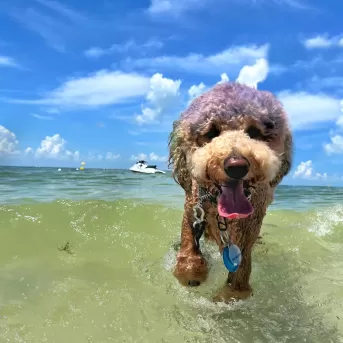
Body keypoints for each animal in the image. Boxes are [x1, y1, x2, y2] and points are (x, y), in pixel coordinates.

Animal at [168, 82, 292, 306]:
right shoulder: (193, 207)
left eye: (254, 132)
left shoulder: (250, 222)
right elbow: (188, 239)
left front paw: (233, 292)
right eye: (211, 132)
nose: (236, 166)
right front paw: (191, 270)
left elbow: (241, 262)